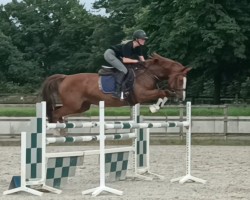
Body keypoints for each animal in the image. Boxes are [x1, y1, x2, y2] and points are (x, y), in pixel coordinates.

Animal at [41, 52, 191, 122]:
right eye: (180, 79)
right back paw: (58, 131)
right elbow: (162, 92)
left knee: (57, 112)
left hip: (82, 106)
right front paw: (154, 108)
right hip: (73, 105)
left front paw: (156, 107)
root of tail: (65, 77)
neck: (148, 73)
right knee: (55, 113)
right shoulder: (142, 95)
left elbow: (164, 93)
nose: (182, 97)